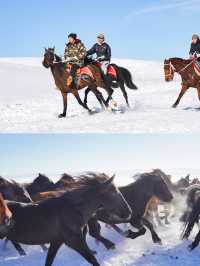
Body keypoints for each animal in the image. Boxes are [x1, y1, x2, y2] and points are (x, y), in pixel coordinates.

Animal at [1, 172, 133, 266]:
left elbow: (49, 261)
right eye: (114, 192)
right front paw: (110, 245)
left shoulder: (57, 241)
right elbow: (92, 258)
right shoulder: (74, 241)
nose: (129, 212)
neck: (70, 210)